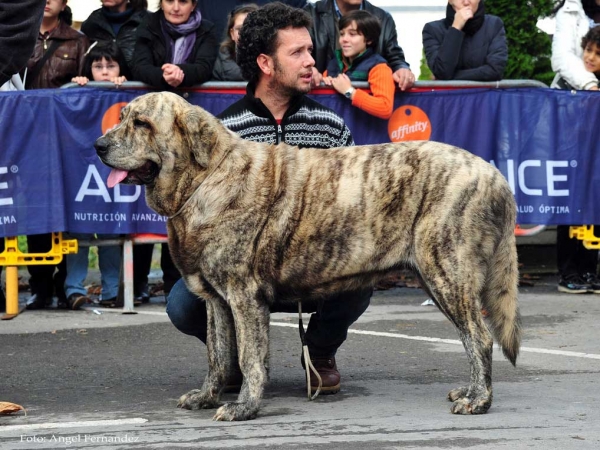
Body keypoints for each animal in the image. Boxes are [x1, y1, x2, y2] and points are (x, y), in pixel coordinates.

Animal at [95, 90, 520, 422]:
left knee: (479, 338)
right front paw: (208, 396)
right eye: (122, 117)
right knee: (470, 338)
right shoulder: (216, 300)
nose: (98, 146)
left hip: (447, 273)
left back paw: (479, 400)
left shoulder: (244, 295)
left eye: (142, 123)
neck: (204, 179)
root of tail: (496, 176)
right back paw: (468, 391)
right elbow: (218, 355)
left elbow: (249, 356)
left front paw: (244, 407)